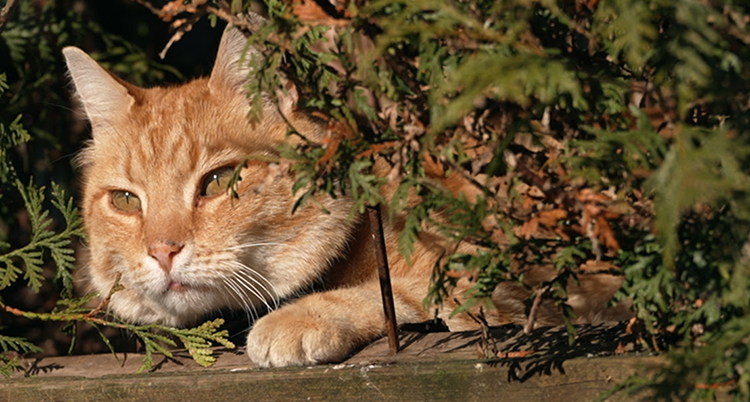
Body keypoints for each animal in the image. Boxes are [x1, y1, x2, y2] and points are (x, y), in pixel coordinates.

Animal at [61, 23, 632, 366]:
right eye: (125, 201)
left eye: (220, 181)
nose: (163, 251)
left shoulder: (518, 291)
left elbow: (401, 294)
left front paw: (299, 316)